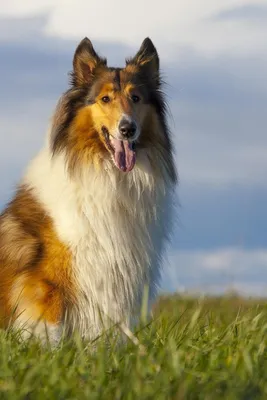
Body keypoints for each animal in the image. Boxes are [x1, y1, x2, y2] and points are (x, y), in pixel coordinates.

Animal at [0, 37, 178, 344]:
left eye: (136, 98)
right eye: (105, 99)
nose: (127, 129)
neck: (109, 174)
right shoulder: (47, 285)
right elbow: (51, 333)